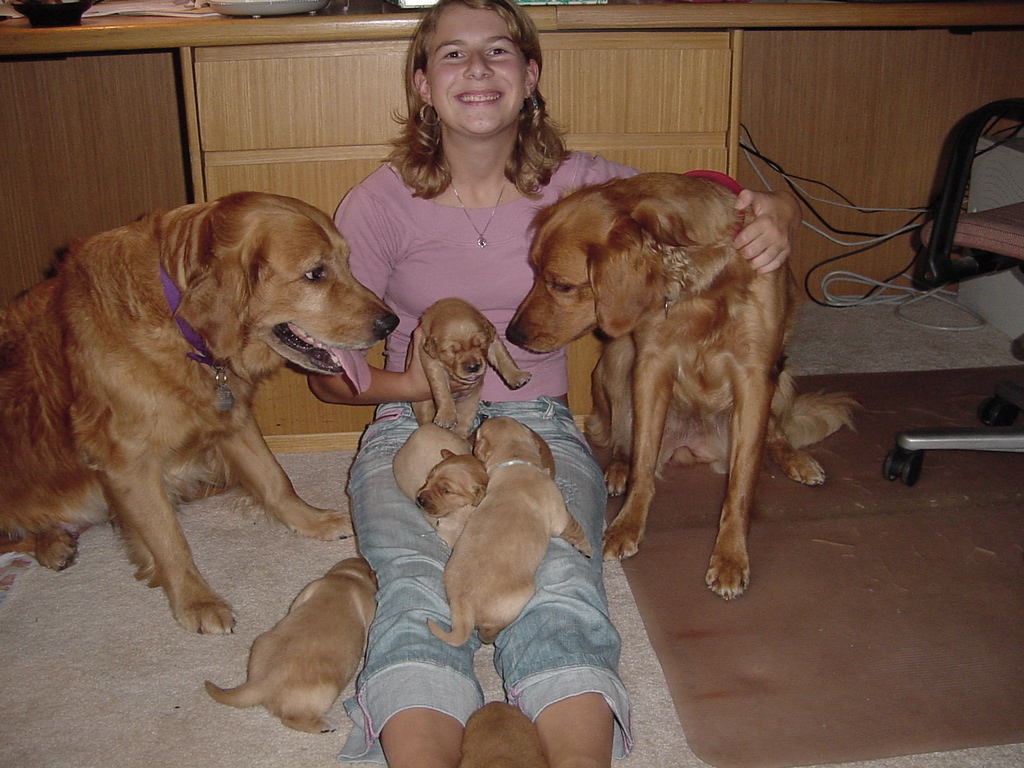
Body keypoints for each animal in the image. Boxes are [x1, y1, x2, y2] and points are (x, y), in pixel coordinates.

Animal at [0, 195, 397, 634]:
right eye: (315, 274)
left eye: (348, 261)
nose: (391, 322)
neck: (177, 323)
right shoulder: (127, 461)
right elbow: (168, 538)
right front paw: (196, 600)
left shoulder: (231, 413)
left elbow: (275, 479)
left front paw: (312, 521)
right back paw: (50, 542)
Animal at [203, 561, 376, 733]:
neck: (346, 577)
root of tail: (260, 683)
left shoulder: (309, 589)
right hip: (326, 693)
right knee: (291, 720)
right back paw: (324, 725)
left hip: (260, 642)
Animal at [411, 296, 532, 436]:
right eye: (452, 351)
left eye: (479, 344)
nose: (473, 367)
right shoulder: (431, 361)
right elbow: (441, 388)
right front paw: (446, 416)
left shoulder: (493, 341)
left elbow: (503, 357)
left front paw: (517, 376)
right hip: (423, 406)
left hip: (469, 406)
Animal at [428, 415, 598, 651]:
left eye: (477, 434)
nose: (482, 417)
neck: (516, 461)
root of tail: (464, 604)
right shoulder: (559, 517)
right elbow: (575, 528)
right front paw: (586, 548)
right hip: (522, 595)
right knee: (488, 631)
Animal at [505, 173, 856, 602]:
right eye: (534, 271)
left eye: (561, 285)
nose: (512, 335)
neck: (702, 289)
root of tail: (693, 447)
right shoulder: (651, 362)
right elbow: (643, 463)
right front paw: (627, 525)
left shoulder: (756, 374)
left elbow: (741, 484)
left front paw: (730, 556)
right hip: (618, 358)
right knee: (624, 439)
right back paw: (617, 469)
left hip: (784, 375)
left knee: (775, 435)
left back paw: (796, 459)